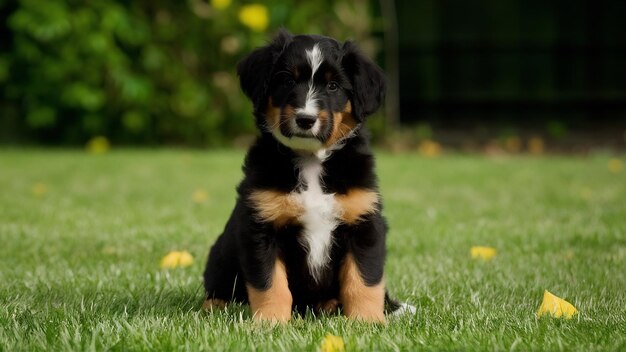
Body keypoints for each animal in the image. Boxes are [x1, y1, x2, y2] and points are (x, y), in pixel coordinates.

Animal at [200, 31, 408, 324]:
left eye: (333, 86)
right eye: (287, 80)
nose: (305, 119)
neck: (311, 160)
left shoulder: (364, 224)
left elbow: (364, 281)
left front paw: (368, 321)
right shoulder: (260, 228)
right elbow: (269, 284)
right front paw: (269, 322)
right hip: (220, 255)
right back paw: (216, 305)